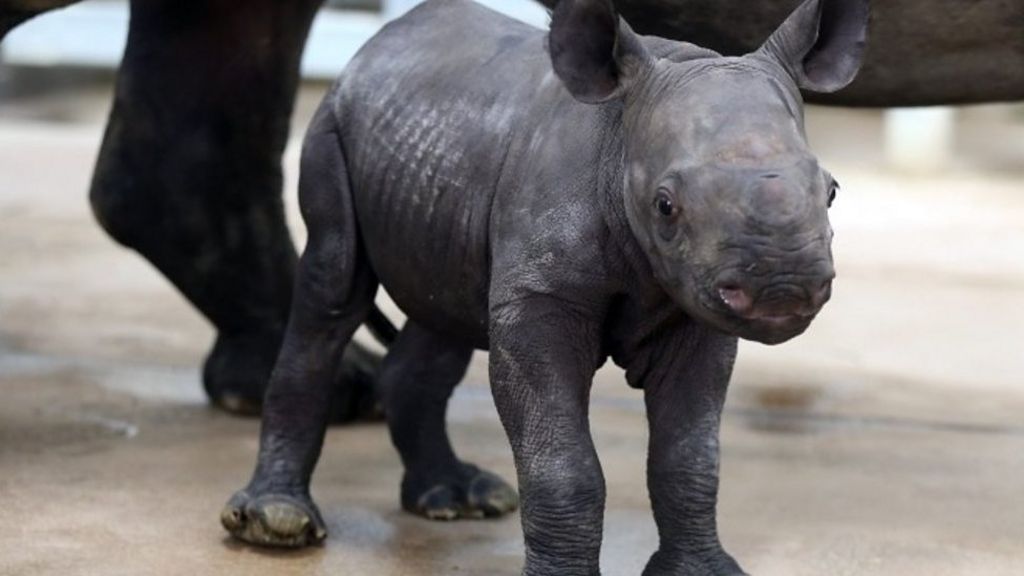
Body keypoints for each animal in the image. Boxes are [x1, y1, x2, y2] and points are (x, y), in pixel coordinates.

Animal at [220, 0, 866, 573]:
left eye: (832, 192)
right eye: (665, 206)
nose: (783, 287)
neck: (621, 143)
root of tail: (370, 51)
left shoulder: (694, 309)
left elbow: (689, 458)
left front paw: (704, 573)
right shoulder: (540, 300)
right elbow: (562, 462)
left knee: (445, 314)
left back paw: (459, 502)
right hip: (333, 126)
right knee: (332, 290)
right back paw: (276, 525)